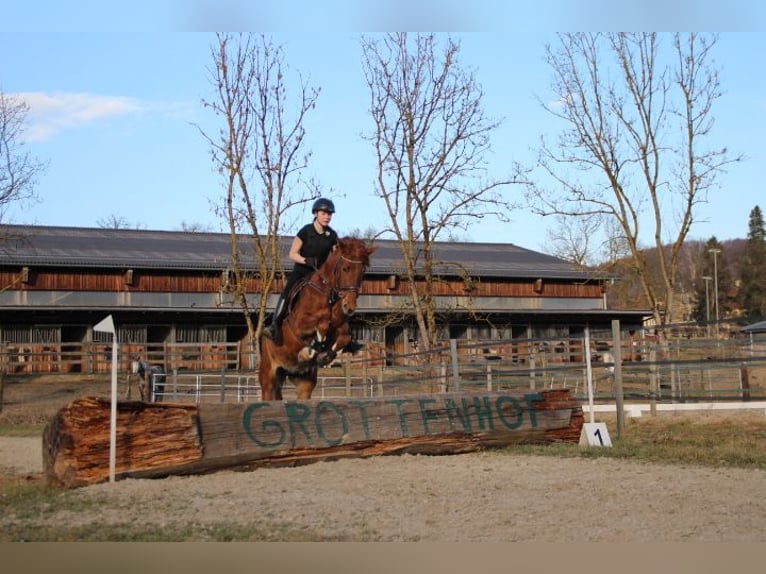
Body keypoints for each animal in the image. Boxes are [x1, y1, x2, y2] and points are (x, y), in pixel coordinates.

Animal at [258, 237, 378, 400]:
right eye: (345, 268)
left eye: (363, 271)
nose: (349, 306)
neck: (328, 295)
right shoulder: (299, 325)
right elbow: (323, 324)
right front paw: (310, 351)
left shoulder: (341, 326)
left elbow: (344, 336)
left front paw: (324, 355)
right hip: (268, 375)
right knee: (267, 389)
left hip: (303, 382)